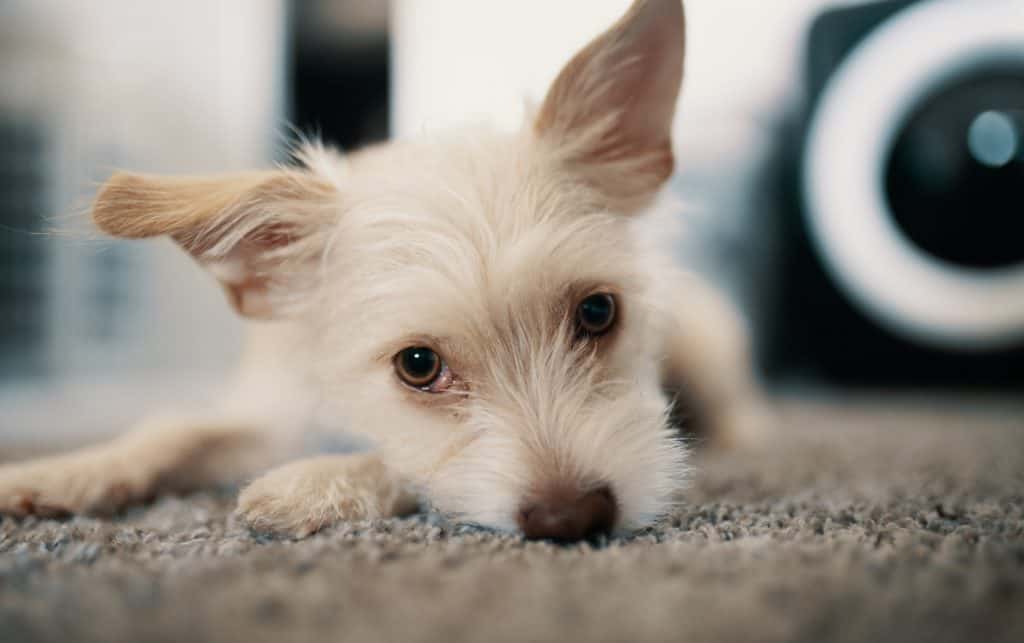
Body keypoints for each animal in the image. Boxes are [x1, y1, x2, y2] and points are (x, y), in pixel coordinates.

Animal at [0, 0, 761, 540]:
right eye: (418, 365)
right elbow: (170, 430)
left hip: (705, 340)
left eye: (598, 312)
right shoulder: (270, 412)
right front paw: (60, 470)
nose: (574, 519)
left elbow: (399, 459)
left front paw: (309, 484)